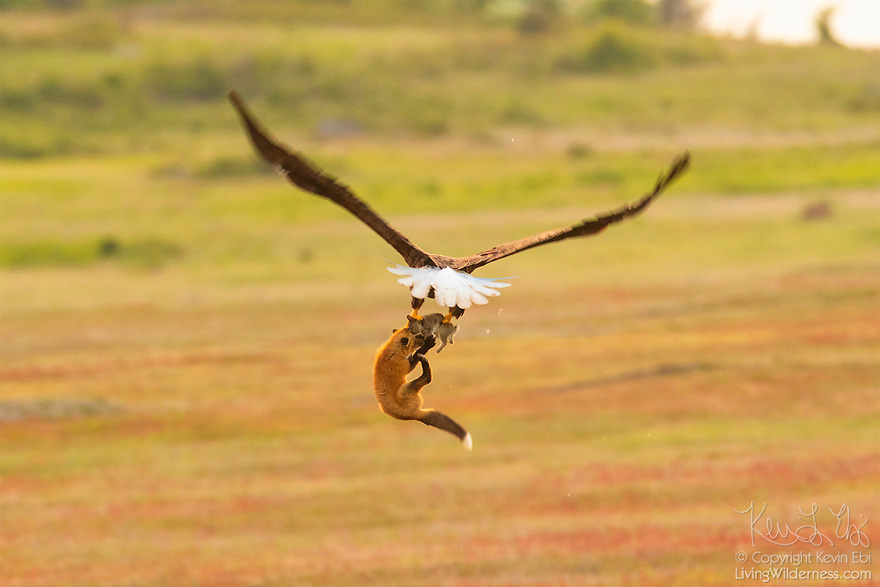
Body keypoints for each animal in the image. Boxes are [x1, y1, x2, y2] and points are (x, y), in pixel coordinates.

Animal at [373, 322, 472, 451]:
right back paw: (425, 366)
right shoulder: (406, 366)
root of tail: (414, 415)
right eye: (419, 336)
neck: (391, 351)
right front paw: (427, 346)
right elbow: (415, 356)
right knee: (427, 378)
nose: (428, 335)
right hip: (405, 389)